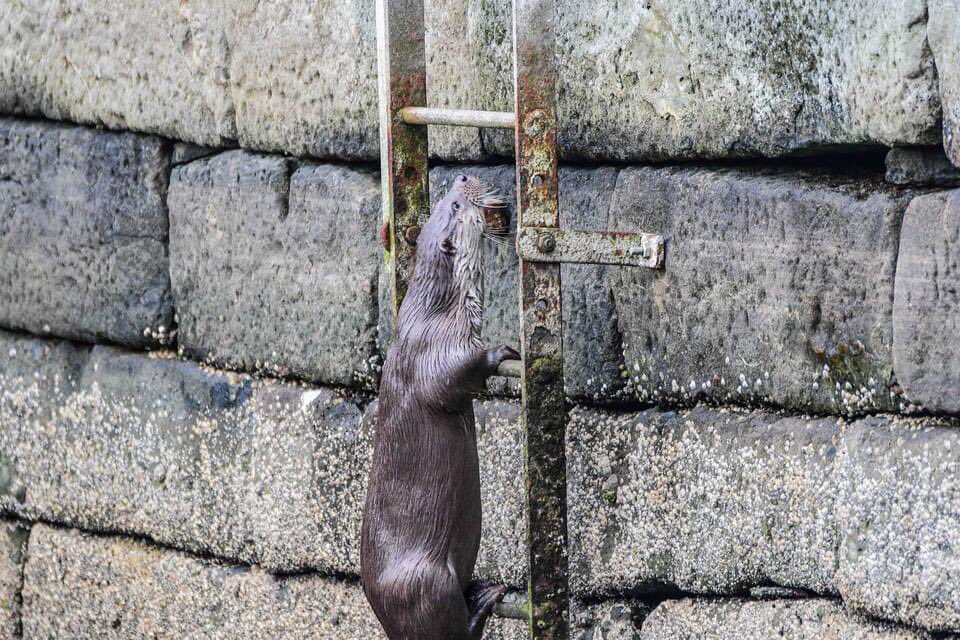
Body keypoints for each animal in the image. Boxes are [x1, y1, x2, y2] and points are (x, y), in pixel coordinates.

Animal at [361, 175, 518, 640]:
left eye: (442, 201)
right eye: (454, 206)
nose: (464, 178)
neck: (437, 311)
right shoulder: (431, 352)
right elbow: (449, 380)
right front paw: (499, 353)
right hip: (427, 582)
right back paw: (482, 603)